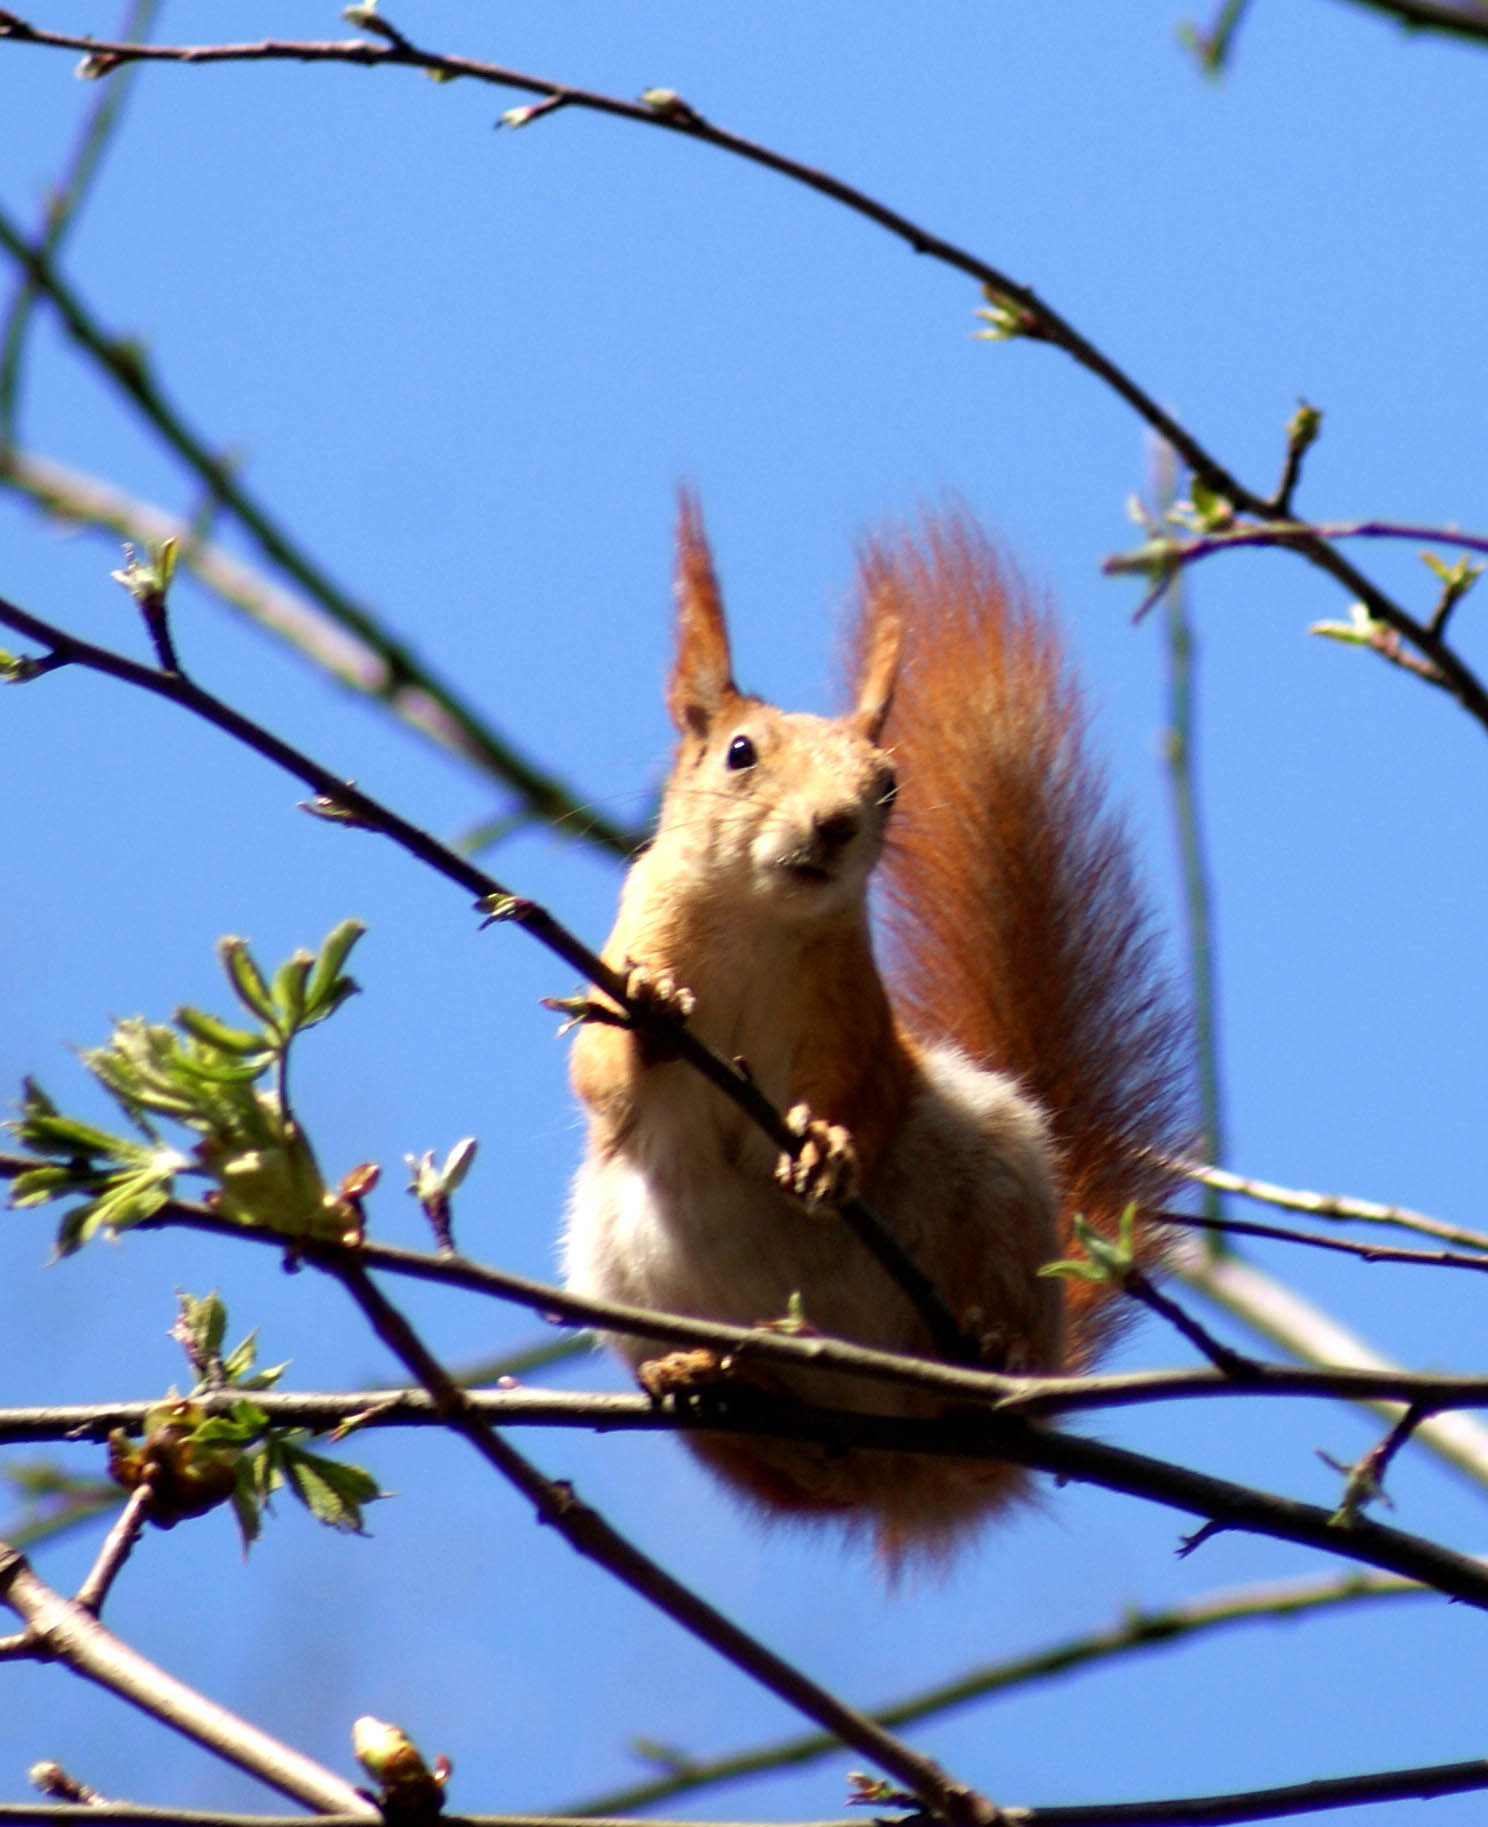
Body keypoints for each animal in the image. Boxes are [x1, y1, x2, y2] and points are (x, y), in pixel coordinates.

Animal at [566, 500, 1191, 1571]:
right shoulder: (620, 945)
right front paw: (654, 1010)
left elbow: (863, 1090)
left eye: (889, 781)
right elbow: (598, 1071)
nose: (836, 823)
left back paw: (991, 1359)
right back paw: (717, 1379)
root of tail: (908, 1475)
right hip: (619, 1274)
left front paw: (828, 1145)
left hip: (998, 1190)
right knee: (806, 1475)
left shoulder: (855, 1017)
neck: (755, 924)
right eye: (740, 752)